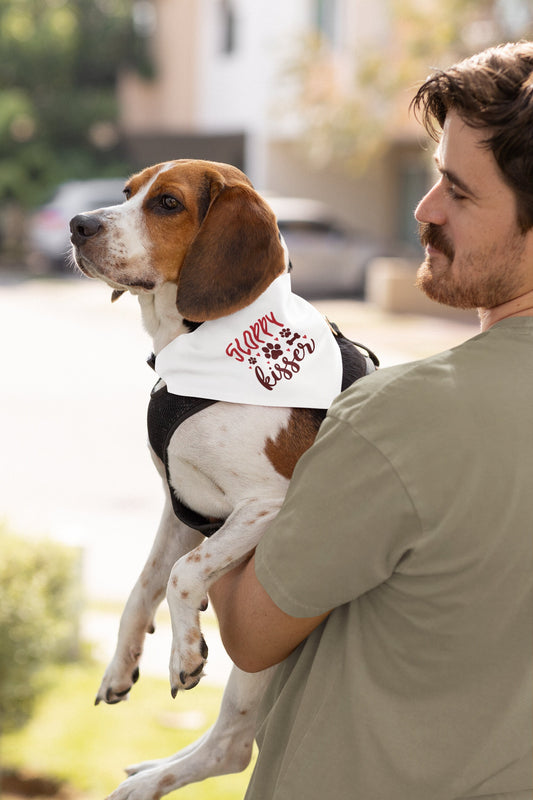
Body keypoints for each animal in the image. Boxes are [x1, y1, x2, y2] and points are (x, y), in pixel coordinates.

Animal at [70, 158, 376, 800]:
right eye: (126, 192)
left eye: (167, 203)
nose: (78, 224)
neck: (193, 348)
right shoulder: (181, 506)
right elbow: (144, 584)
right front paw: (121, 663)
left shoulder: (270, 506)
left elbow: (184, 574)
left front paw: (183, 652)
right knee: (228, 743)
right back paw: (148, 773)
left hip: (261, 650)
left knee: (233, 747)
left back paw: (145, 784)